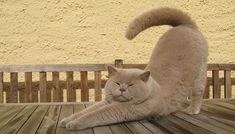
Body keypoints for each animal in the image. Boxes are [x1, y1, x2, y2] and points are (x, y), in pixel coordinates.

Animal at [60, 6, 207, 130]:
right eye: (117, 83)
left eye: (130, 85)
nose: (122, 89)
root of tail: (187, 25)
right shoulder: (106, 102)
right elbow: (86, 111)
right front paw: (67, 120)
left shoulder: (123, 109)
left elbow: (95, 114)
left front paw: (73, 124)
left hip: (199, 75)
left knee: (198, 93)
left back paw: (193, 110)